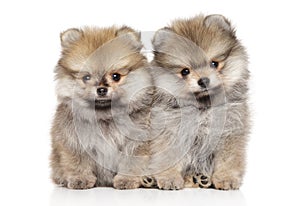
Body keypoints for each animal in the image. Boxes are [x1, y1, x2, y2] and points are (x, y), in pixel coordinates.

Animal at [50, 26, 154, 190]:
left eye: (116, 76)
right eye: (86, 77)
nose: (101, 89)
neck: (105, 118)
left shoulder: (136, 141)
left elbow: (131, 162)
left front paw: (126, 180)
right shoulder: (74, 141)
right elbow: (77, 162)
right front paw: (80, 179)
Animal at [150, 13, 251, 189]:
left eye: (214, 63)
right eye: (185, 71)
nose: (203, 80)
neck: (204, 108)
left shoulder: (230, 132)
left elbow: (228, 160)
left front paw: (226, 178)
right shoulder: (170, 133)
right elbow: (168, 157)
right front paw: (169, 177)